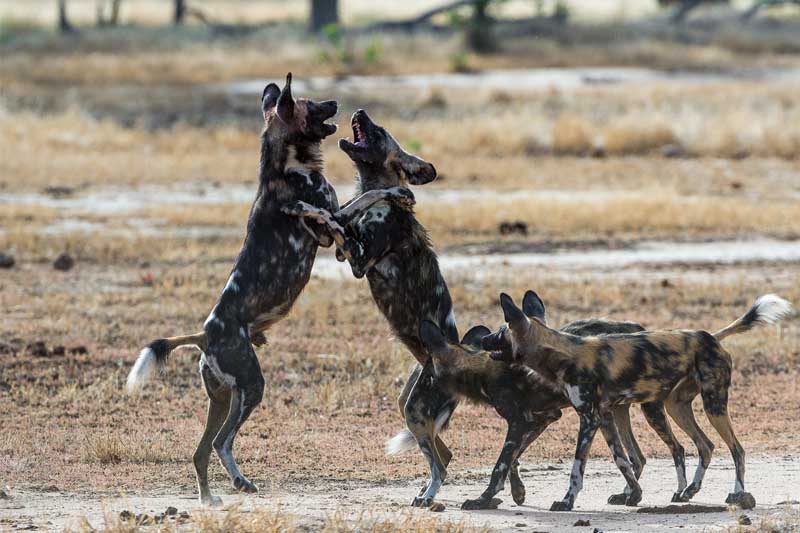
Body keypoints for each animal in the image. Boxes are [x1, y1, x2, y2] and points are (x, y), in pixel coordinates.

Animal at [127, 77, 416, 504]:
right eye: (312, 103)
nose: (336, 101)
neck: (289, 166)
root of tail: (204, 334)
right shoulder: (331, 222)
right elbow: (366, 197)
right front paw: (398, 194)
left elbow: (360, 201)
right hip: (252, 387)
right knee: (222, 443)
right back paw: (241, 482)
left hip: (223, 397)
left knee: (201, 450)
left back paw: (210, 498)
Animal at [282, 110, 460, 504]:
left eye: (378, 132)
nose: (360, 112)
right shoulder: (343, 252)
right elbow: (341, 216)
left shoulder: (358, 261)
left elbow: (337, 218)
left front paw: (308, 206)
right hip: (408, 404)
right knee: (445, 455)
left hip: (416, 408)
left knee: (440, 464)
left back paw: (429, 498)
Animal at [478, 290, 792, 512]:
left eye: (500, 332)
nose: (481, 339)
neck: (563, 353)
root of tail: (710, 337)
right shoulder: (604, 416)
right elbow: (623, 460)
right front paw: (633, 494)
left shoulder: (589, 419)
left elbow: (577, 468)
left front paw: (566, 501)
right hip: (675, 407)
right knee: (706, 445)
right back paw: (688, 491)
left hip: (712, 405)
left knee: (736, 449)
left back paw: (737, 494)